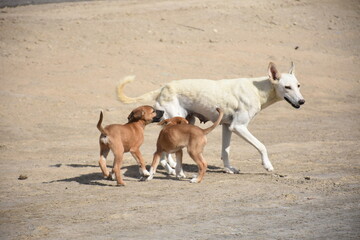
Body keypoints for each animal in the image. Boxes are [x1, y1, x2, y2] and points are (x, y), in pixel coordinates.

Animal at [116, 62, 306, 174]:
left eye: (298, 86)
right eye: (287, 87)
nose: (302, 101)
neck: (259, 90)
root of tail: (163, 87)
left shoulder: (228, 127)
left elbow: (226, 151)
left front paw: (229, 169)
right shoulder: (239, 127)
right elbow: (262, 146)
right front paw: (268, 165)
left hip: (186, 121)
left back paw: (171, 167)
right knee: (163, 154)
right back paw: (169, 169)